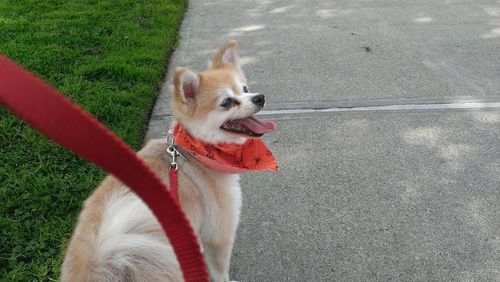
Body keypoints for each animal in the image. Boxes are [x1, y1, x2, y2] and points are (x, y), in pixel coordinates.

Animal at [61, 40, 278, 282]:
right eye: (227, 102)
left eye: (245, 89)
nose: (260, 97)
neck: (194, 151)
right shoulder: (219, 233)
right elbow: (221, 272)